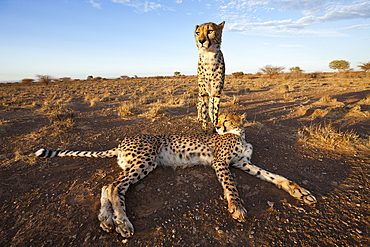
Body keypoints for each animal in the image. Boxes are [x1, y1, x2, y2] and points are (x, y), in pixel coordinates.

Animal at [34, 113, 316, 238]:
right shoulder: (221, 163)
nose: (217, 126)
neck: (240, 134)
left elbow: (275, 176)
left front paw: (300, 192)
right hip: (145, 161)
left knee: (108, 185)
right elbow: (232, 187)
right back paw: (122, 222)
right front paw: (236, 207)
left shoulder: (244, 164)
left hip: (139, 164)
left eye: (227, 119)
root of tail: (124, 140)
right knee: (115, 187)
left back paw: (106, 219)